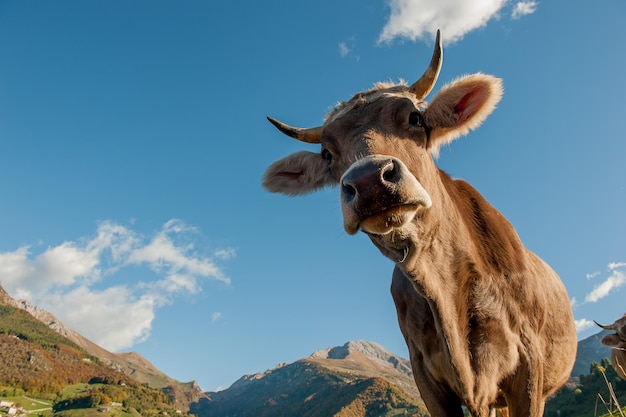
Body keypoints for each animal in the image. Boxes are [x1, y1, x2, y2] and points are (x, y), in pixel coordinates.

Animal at [260, 31, 572, 416]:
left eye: (415, 118)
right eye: (327, 155)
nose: (369, 181)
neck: (445, 284)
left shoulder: (529, 365)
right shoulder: (425, 373)